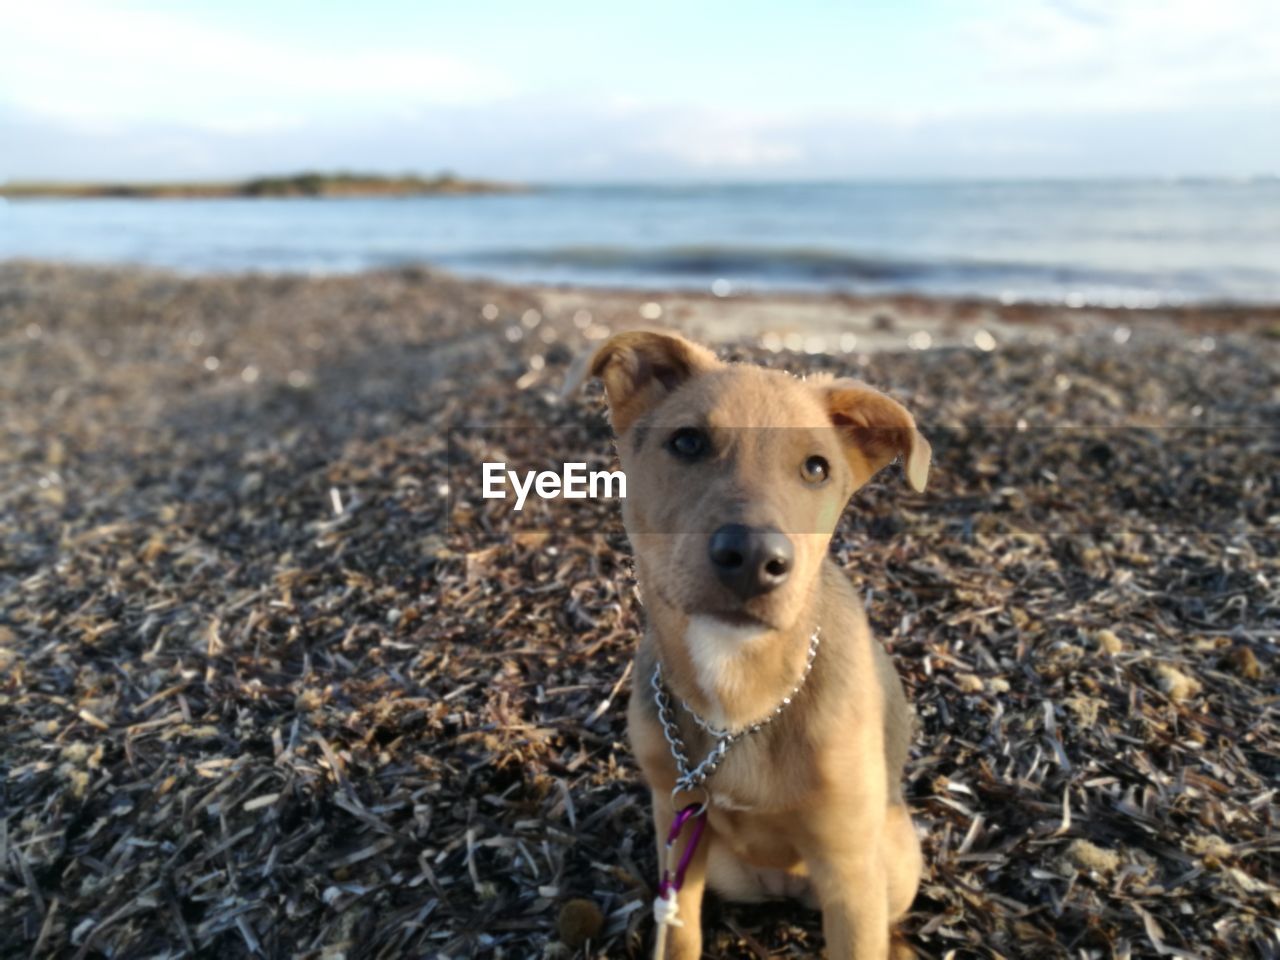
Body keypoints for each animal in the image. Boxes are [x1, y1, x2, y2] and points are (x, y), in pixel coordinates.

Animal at [588, 327, 931, 957]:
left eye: (817, 468)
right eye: (688, 441)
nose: (752, 558)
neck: (739, 702)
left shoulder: (851, 874)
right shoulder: (677, 827)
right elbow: (679, 936)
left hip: (893, 856)